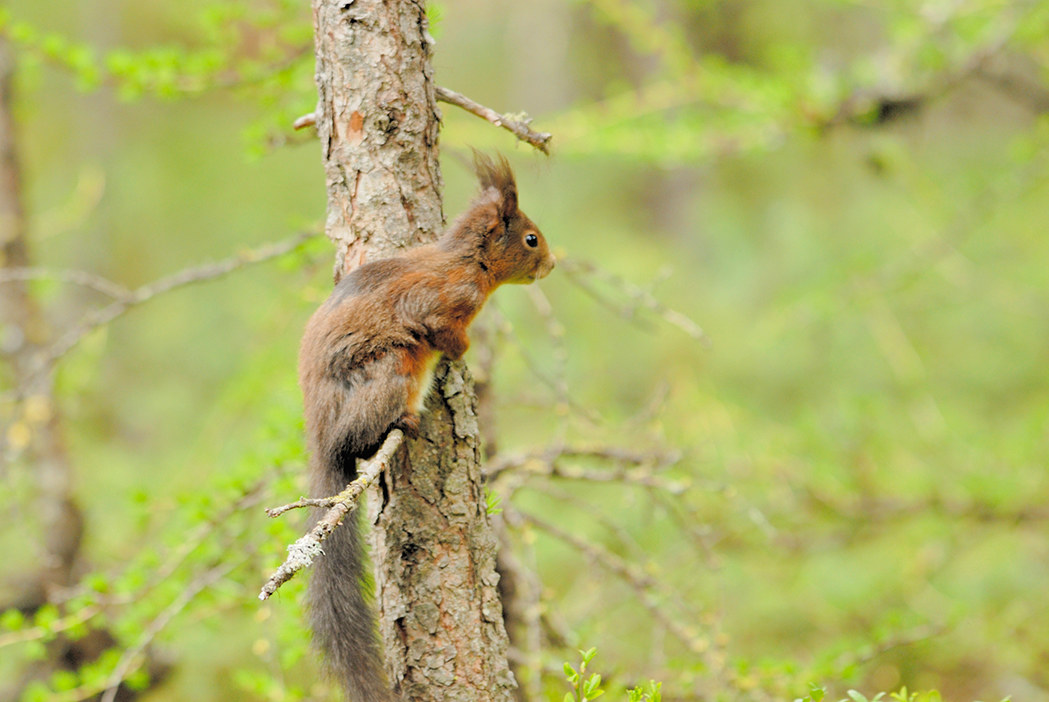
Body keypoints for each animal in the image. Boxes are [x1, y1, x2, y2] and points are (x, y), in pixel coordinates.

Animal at [298, 153, 555, 702]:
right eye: (531, 239)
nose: (551, 265)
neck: (467, 262)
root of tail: (322, 436)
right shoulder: (439, 304)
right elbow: (443, 330)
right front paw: (461, 352)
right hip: (391, 369)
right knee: (359, 438)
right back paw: (400, 423)